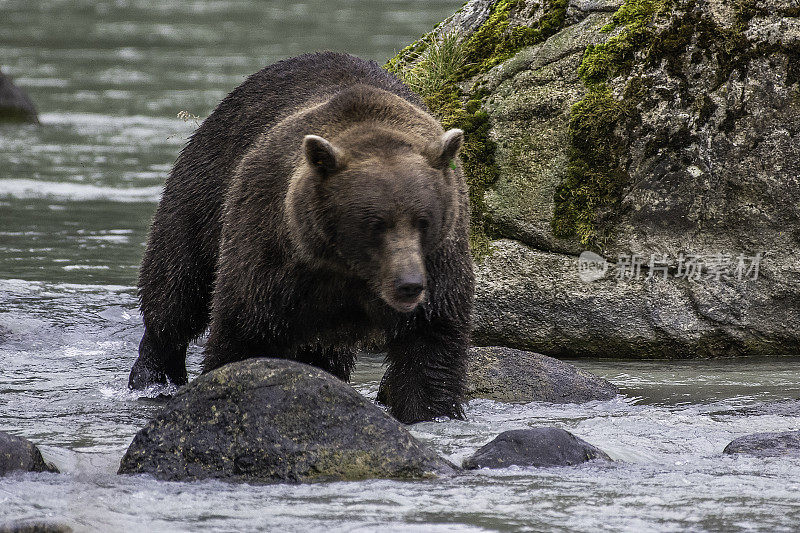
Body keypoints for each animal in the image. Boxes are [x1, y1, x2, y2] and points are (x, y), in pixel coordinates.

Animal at [128, 51, 472, 424]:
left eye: (423, 221)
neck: (346, 269)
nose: (408, 284)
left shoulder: (440, 262)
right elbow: (243, 331)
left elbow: (430, 348)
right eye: (375, 223)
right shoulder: (272, 249)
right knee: (177, 284)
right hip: (205, 189)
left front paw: (430, 411)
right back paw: (153, 377)